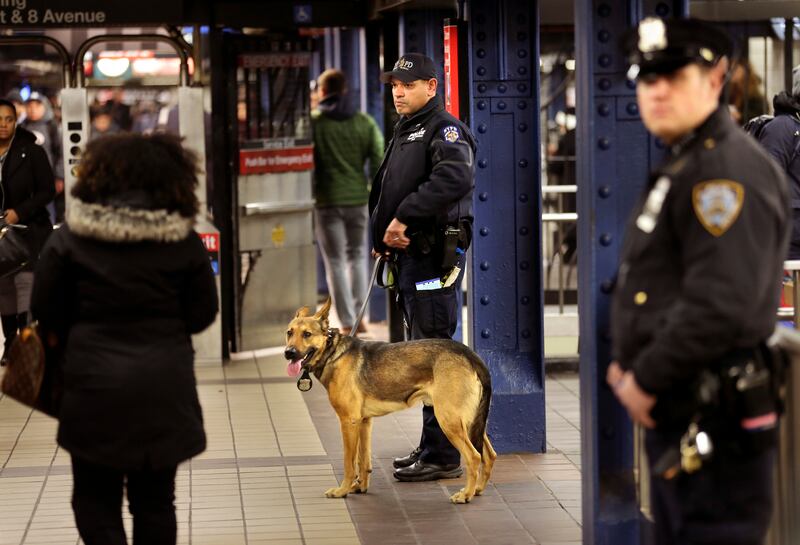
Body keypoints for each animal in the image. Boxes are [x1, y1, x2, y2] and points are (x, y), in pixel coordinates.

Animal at [282, 298, 494, 502]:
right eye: (289, 333)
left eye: (307, 334)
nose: (288, 352)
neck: (332, 352)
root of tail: (469, 354)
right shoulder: (364, 422)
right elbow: (363, 460)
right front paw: (359, 487)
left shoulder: (348, 422)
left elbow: (349, 463)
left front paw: (342, 490)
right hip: (469, 422)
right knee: (489, 455)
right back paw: (477, 489)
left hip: (449, 420)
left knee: (474, 457)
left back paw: (466, 495)